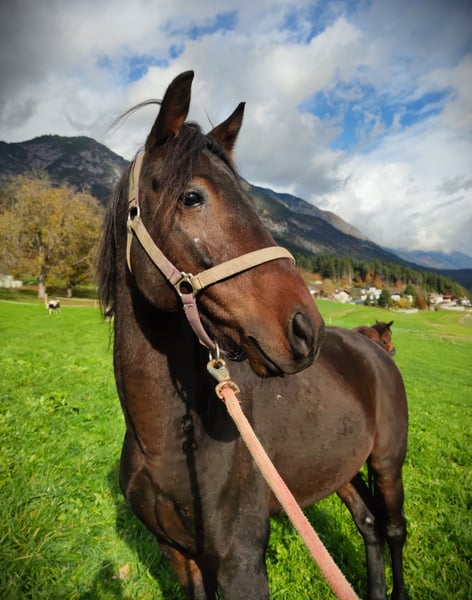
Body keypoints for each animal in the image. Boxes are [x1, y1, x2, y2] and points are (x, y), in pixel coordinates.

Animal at [97, 71, 408, 600]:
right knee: (368, 525)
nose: (306, 329)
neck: (164, 443)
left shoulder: (242, 564)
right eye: (193, 197)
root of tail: (373, 350)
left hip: (388, 464)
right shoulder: (179, 557)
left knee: (392, 531)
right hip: (341, 468)